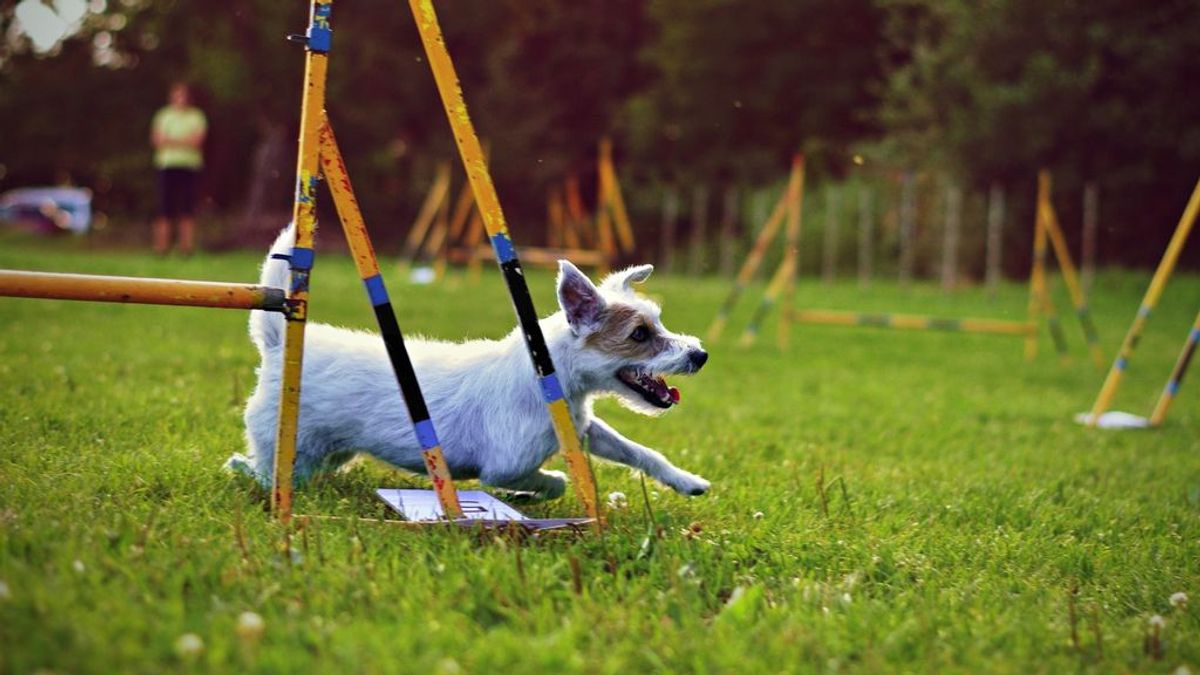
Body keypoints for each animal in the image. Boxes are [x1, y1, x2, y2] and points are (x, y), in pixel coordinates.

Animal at [229, 225, 705, 499]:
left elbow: (639, 452)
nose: (700, 355)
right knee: (261, 472)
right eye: (639, 335)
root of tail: (276, 345)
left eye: (658, 321)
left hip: (331, 450)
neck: (551, 378)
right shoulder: (505, 467)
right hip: (290, 446)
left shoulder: (584, 429)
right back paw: (243, 469)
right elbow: (548, 482)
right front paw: (537, 493)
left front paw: (687, 481)